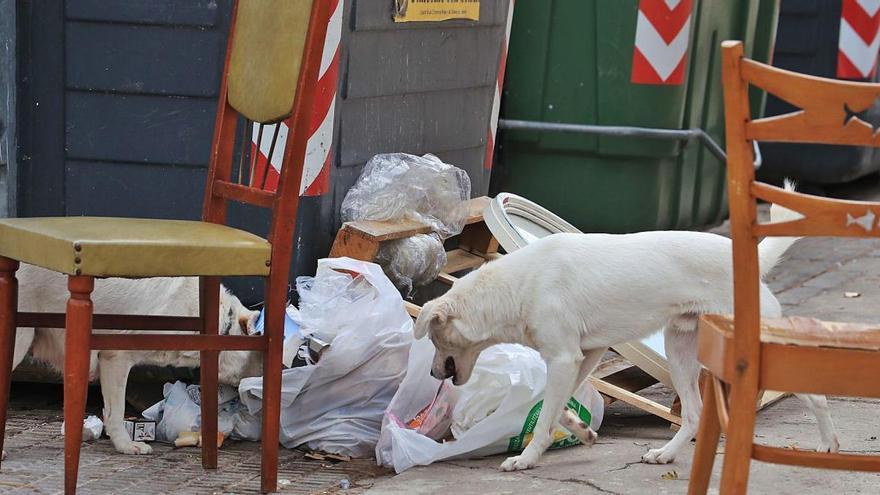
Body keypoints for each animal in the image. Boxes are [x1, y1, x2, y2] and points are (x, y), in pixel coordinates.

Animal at [414, 193, 840, 472]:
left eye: (434, 339)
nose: (432, 374)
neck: (518, 285)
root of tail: (754, 261)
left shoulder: (564, 358)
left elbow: (547, 411)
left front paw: (526, 458)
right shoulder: (585, 356)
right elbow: (553, 404)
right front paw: (580, 429)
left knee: (816, 396)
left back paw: (828, 444)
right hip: (680, 351)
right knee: (694, 414)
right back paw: (667, 455)